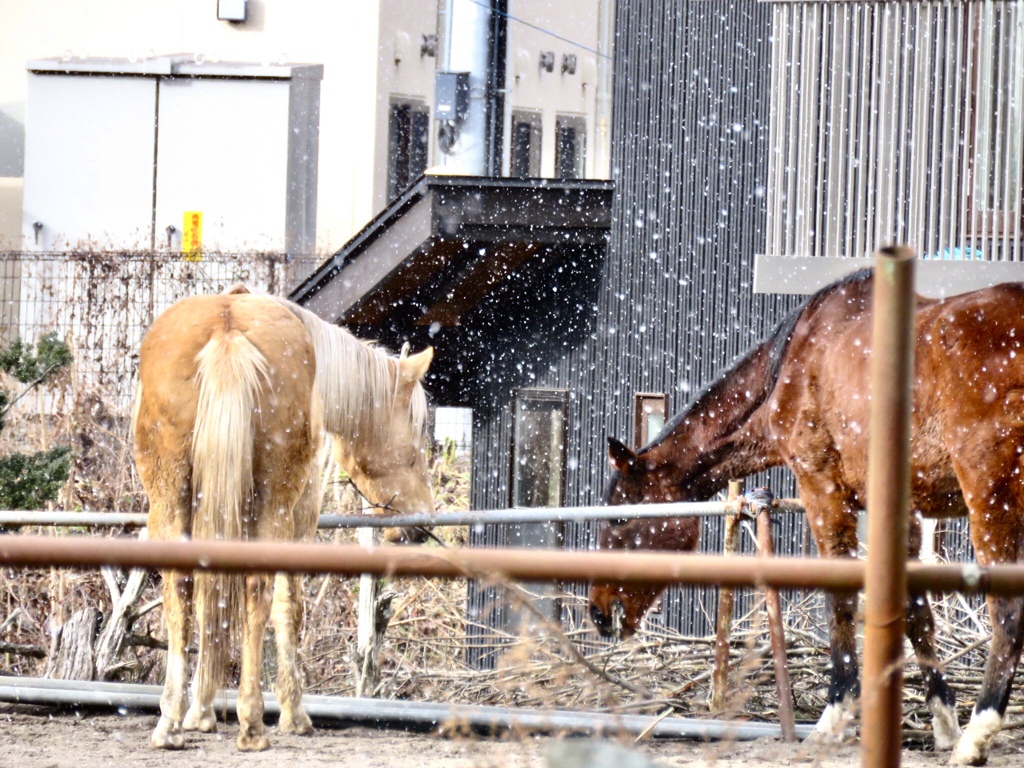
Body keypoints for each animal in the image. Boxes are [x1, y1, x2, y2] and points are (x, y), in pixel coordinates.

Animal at [133, 288, 432, 753]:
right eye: (419, 439)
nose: (422, 520)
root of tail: (227, 327)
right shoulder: (300, 516)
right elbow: (287, 604)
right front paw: (293, 713)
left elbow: (209, 599)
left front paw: (200, 711)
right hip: (274, 503)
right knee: (258, 588)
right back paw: (253, 723)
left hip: (170, 498)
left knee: (179, 590)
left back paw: (171, 723)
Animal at [589, 268, 1024, 765]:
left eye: (620, 520)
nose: (597, 610)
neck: (791, 368)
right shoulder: (903, 512)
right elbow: (917, 614)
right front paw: (943, 723)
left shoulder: (822, 491)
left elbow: (840, 601)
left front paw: (834, 718)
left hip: (991, 497)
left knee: (1008, 615)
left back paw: (977, 736)